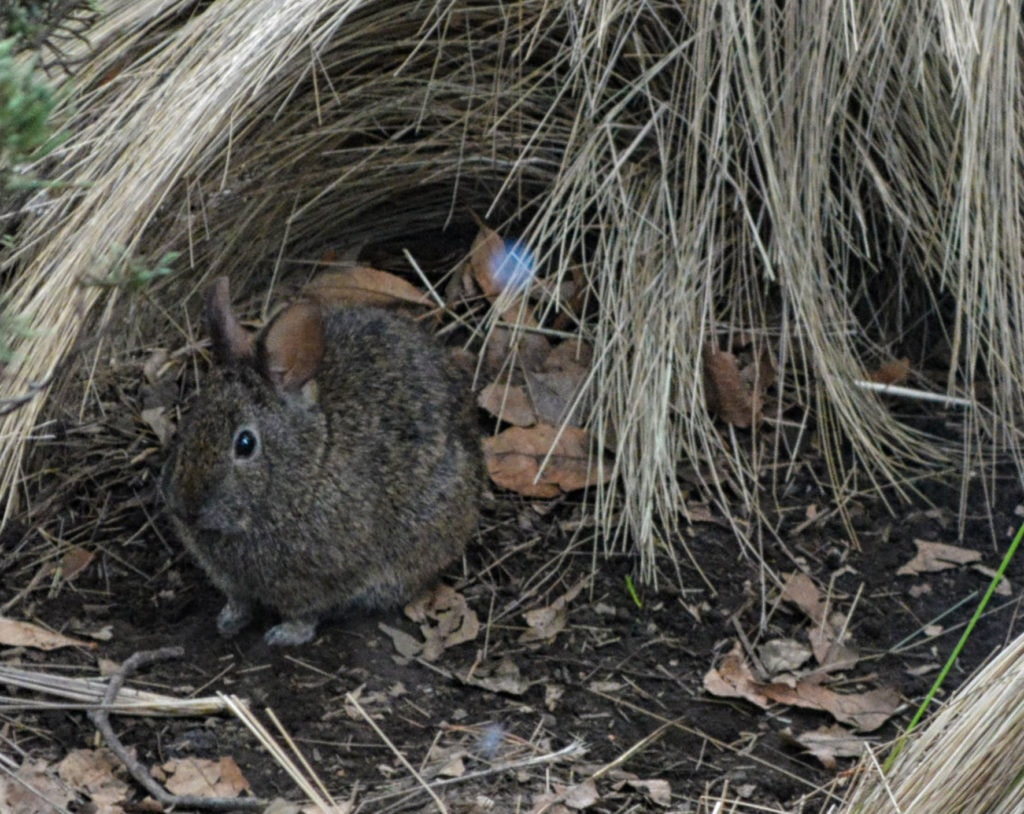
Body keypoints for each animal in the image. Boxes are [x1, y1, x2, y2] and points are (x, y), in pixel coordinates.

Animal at [161, 276, 482, 646]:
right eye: (189, 422)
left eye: (245, 443)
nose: (185, 509)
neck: (310, 465)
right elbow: (239, 598)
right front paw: (229, 619)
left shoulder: (320, 580)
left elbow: (305, 611)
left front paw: (285, 634)